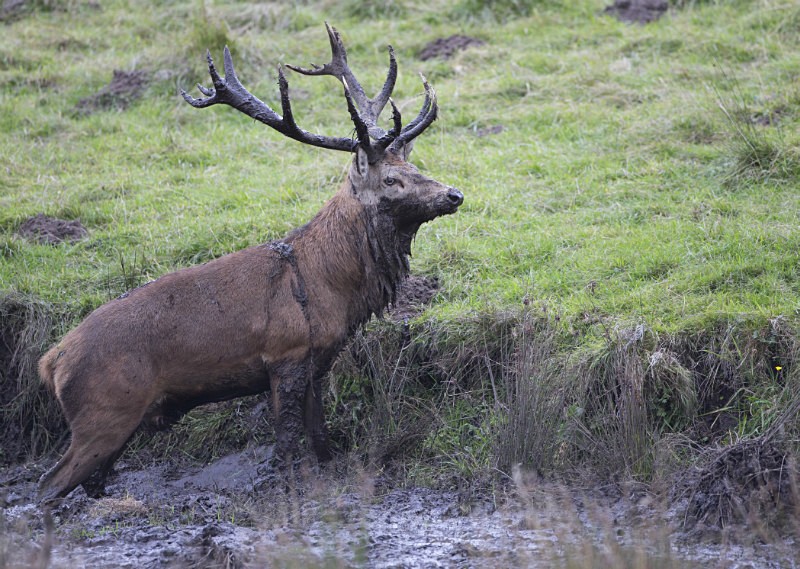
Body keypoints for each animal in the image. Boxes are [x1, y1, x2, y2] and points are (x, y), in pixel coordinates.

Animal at [36, 23, 463, 503]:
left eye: (415, 165)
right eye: (391, 179)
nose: (453, 194)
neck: (332, 285)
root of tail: (51, 361)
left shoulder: (317, 361)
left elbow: (321, 439)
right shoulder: (284, 354)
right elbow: (287, 443)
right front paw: (285, 487)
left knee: (87, 480)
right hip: (104, 411)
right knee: (48, 483)